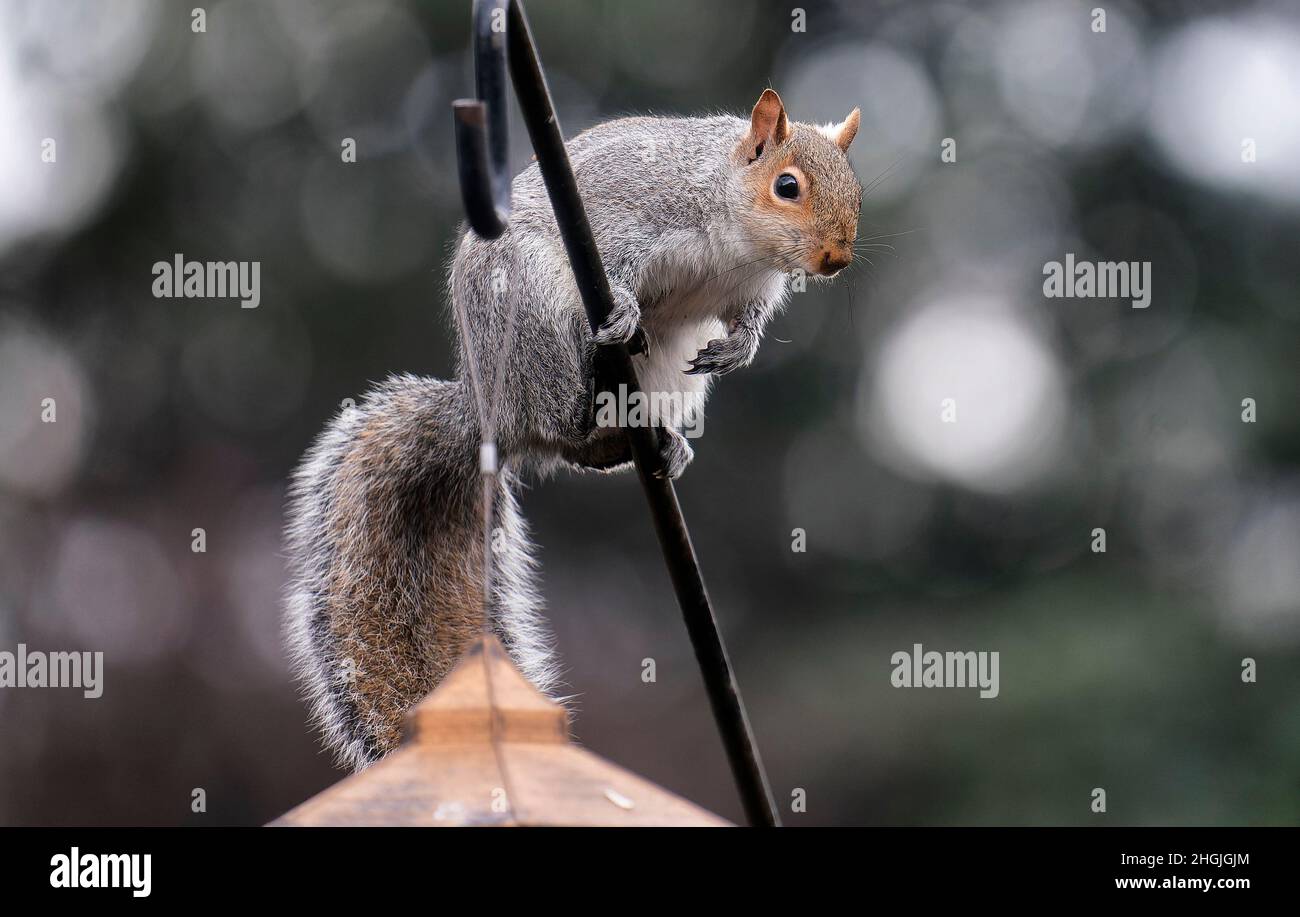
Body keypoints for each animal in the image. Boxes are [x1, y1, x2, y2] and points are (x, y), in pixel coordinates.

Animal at [283, 89, 863, 770]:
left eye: (855, 188)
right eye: (787, 185)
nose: (836, 257)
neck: (733, 229)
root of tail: (490, 412)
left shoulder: (748, 287)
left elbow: (745, 322)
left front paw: (738, 350)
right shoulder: (627, 212)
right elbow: (618, 264)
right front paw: (626, 309)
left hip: (664, 369)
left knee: (579, 449)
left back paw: (656, 443)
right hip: (532, 309)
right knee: (558, 419)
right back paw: (586, 395)